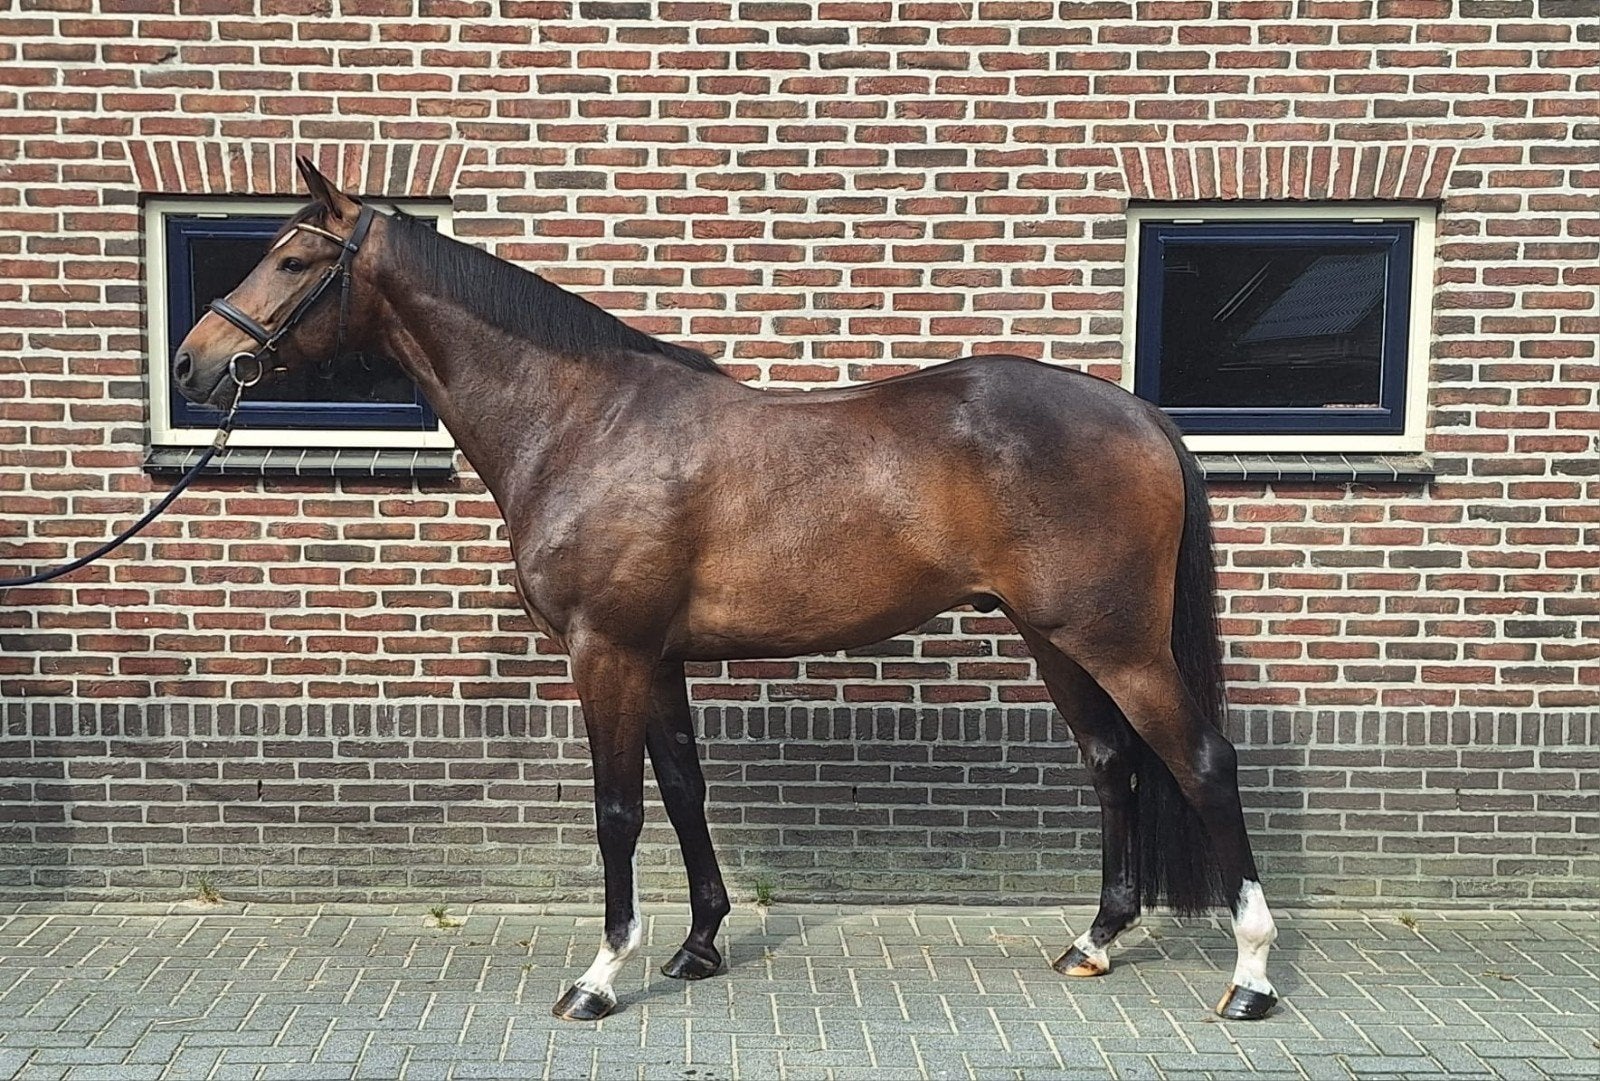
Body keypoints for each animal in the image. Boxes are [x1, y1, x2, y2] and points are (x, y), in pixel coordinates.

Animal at [171, 156, 1281, 1023]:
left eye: (294, 260)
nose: (193, 364)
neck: (580, 420)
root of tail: (1139, 413)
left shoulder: (605, 650)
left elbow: (618, 809)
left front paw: (599, 976)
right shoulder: (657, 656)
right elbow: (683, 789)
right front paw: (698, 946)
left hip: (1117, 641)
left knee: (1203, 761)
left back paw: (1251, 977)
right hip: (1056, 638)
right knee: (1113, 764)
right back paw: (1095, 940)